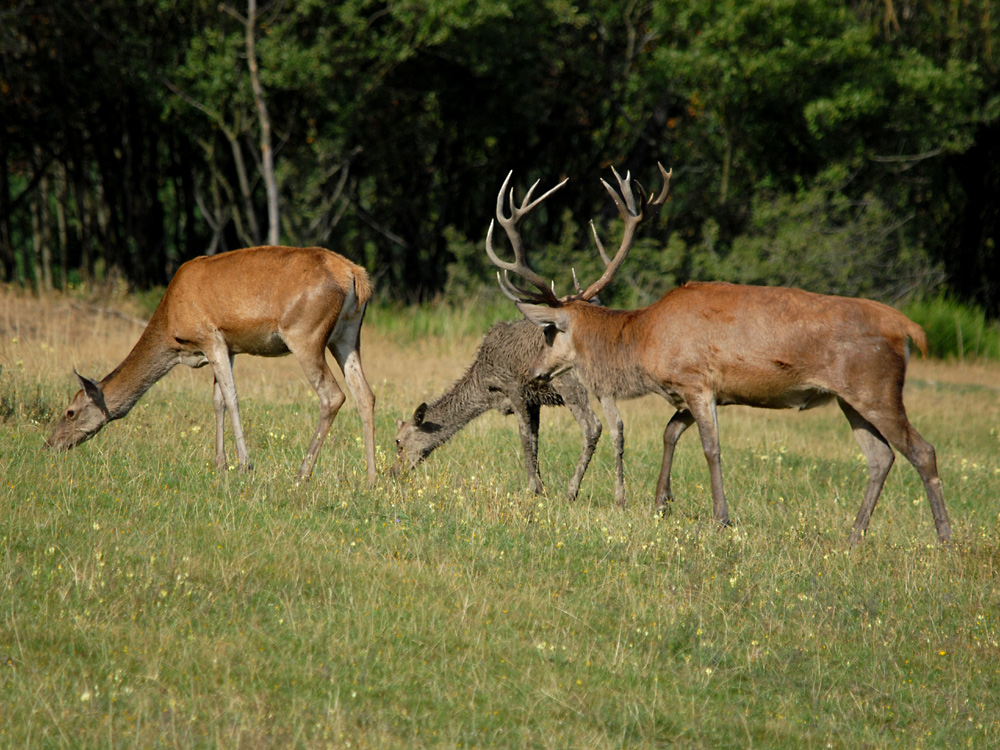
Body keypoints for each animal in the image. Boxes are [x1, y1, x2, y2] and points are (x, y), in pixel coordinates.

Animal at [45, 244, 376, 484]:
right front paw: (220, 463)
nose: (50, 444)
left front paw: (244, 464)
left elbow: (231, 397)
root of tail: (356, 276)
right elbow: (217, 400)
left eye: (70, 411)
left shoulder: (210, 337)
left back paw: (302, 473)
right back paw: (371, 478)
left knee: (333, 395)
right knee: (365, 394)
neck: (171, 328)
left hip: (305, 334)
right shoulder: (229, 347)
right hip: (347, 335)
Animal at [490, 164, 952, 544]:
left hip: (875, 387)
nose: (534, 371)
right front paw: (661, 503)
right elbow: (670, 432)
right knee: (880, 457)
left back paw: (945, 539)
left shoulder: (697, 381)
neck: (643, 341)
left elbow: (711, 448)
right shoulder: (693, 389)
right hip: (849, 399)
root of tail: (907, 329)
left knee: (922, 450)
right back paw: (854, 536)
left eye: (549, 330)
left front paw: (721, 517)